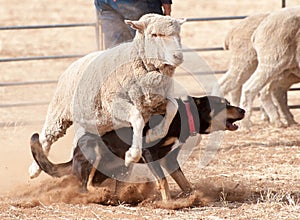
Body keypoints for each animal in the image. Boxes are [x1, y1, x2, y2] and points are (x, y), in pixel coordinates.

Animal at [29, 13, 186, 179]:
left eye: (178, 33)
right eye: (154, 34)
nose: (178, 56)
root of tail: (73, 64)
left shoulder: (155, 102)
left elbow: (173, 108)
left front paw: (154, 134)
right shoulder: (116, 105)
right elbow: (137, 118)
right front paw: (132, 155)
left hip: (90, 122)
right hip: (59, 113)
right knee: (46, 137)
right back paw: (34, 169)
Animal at [30, 95, 245, 202]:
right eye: (224, 103)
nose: (243, 110)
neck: (183, 116)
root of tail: (74, 155)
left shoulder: (170, 159)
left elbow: (184, 182)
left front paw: (194, 197)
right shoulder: (151, 154)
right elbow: (163, 181)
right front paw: (169, 203)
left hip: (120, 168)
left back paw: (117, 197)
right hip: (95, 153)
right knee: (86, 186)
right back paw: (102, 194)